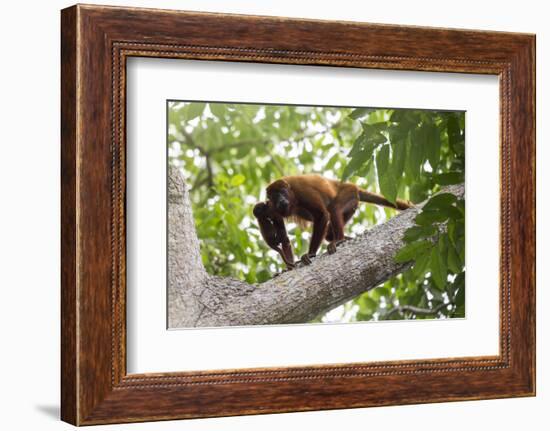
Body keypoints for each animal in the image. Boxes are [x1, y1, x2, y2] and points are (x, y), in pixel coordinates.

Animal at [268, 174, 414, 264]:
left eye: (282, 192)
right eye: (274, 196)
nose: (280, 200)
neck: (291, 194)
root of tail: (352, 185)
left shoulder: (301, 191)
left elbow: (322, 215)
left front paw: (311, 254)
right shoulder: (272, 207)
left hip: (349, 192)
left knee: (334, 207)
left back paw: (339, 240)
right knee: (328, 233)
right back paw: (345, 238)